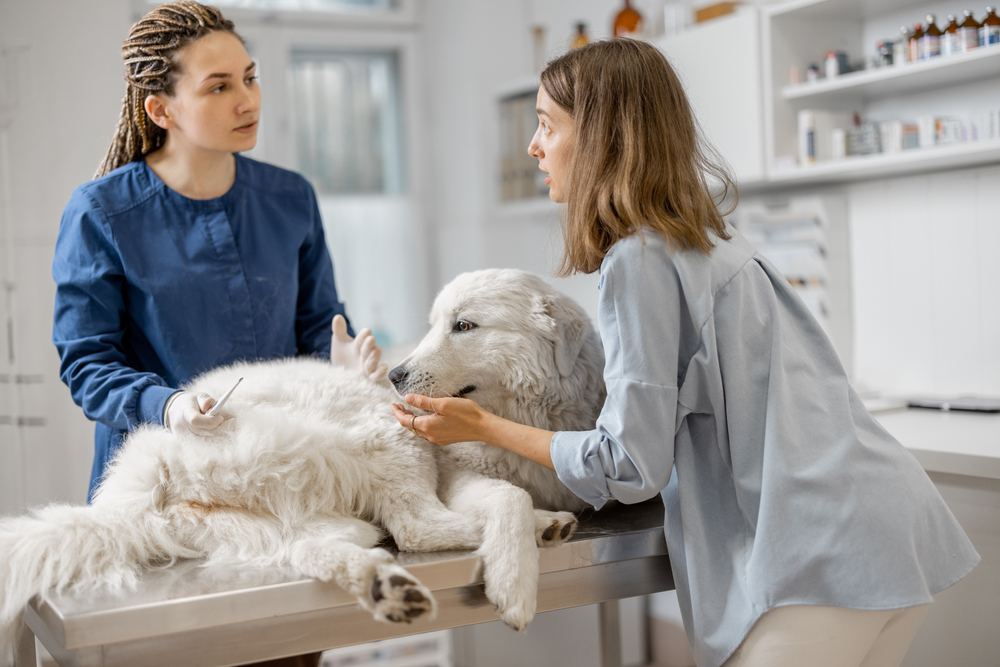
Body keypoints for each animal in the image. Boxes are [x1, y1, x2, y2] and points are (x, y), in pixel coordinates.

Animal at [0, 268, 608, 664]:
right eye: (440, 324)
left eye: (464, 326)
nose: (395, 375)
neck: (525, 412)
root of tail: (148, 480)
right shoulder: (452, 470)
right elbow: (510, 494)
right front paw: (515, 581)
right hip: (384, 430)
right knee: (416, 527)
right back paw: (524, 531)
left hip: (289, 522)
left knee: (321, 548)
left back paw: (383, 584)